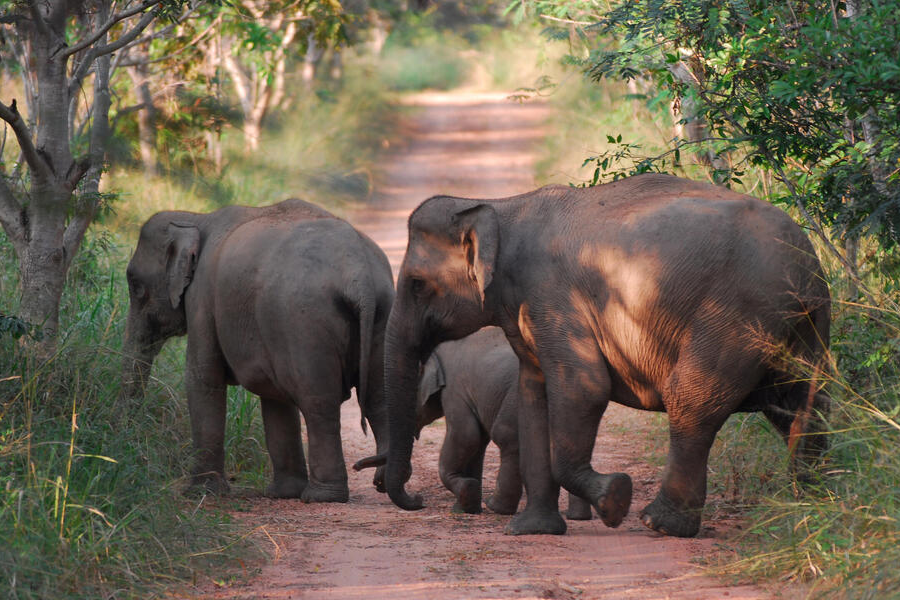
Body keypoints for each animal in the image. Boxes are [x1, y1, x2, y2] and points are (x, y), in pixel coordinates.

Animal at [121, 198, 394, 502]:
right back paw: (383, 483)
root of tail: (360, 275)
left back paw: (322, 496)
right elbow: (274, 397)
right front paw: (282, 493)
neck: (196, 219)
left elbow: (203, 378)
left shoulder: (202, 298)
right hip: (384, 312)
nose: (131, 440)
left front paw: (201, 493)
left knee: (319, 402)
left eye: (135, 286)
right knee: (379, 398)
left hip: (305, 321)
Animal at [354, 326, 592, 519]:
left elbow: (466, 437)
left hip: (517, 395)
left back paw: (496, 507)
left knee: (506, 436)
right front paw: (467, 508)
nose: (419, 499)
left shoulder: (455, 389)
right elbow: (477, 444)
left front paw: (466, 496)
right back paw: (577, 516)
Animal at [382, 173, 831, 537]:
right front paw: (534, 530)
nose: (416, 500)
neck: (500, 207)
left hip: (736, 318)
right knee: (804, 404)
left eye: (417, 284)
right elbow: (533, 397)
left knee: (692, 400)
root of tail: (805, 260)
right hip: (803, 324)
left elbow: (584, 389)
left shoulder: (553, 297)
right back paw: (808, 507)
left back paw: (660, 524)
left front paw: (615, 498)